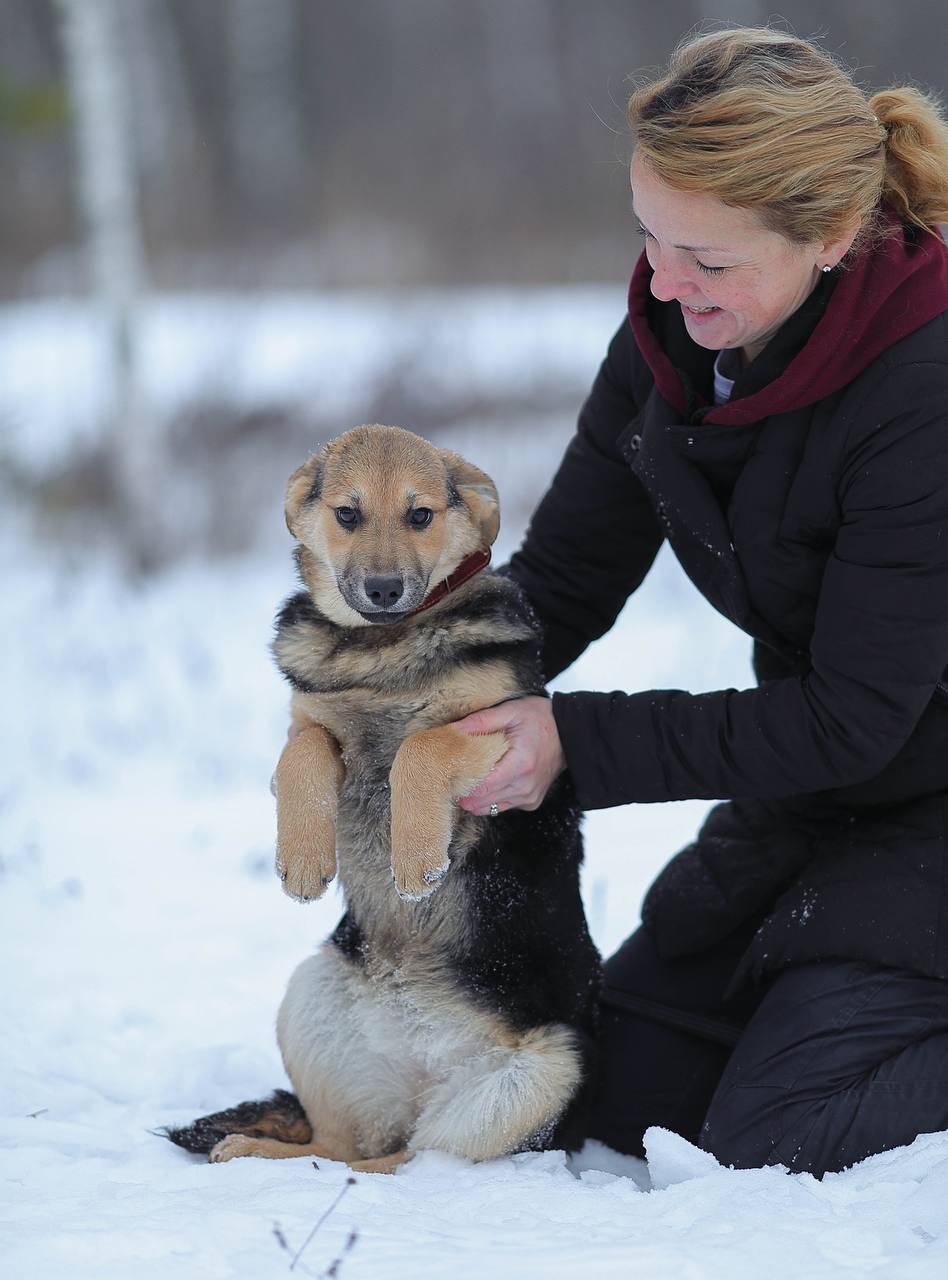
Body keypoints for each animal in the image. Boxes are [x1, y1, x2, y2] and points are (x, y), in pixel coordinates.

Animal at [167, 427, 598, 1172]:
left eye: (420, 515)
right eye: (348, 513)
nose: (384, 589)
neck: (379, 647)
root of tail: (424, 1065)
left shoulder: (503, 731)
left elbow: (417, 750)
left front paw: (415, 857)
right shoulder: (305, 723)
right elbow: (305, 753)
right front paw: (304, 858)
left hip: (541, 1072)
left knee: (413, 1161)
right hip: (308, 998)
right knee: (340, 1148)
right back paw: (258, 1152)